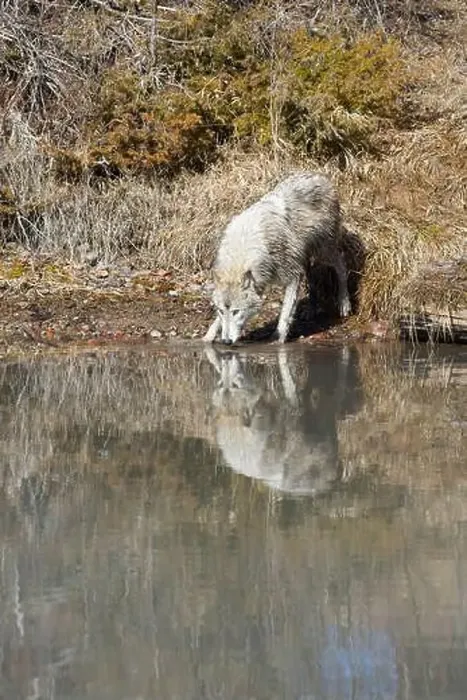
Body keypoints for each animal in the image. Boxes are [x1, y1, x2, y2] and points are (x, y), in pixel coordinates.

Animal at [204, 171, 351, 345]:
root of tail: (320, 176)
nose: (226, 341)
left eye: (236, 311)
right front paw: (209, 336)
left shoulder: (293, 275)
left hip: (323, 252)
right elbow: (217, 322)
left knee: (341, 266)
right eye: (221, 310)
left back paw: (344, 303)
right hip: (306, 257)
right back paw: (310, 309)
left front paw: (278, 338)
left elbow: (286, 313)